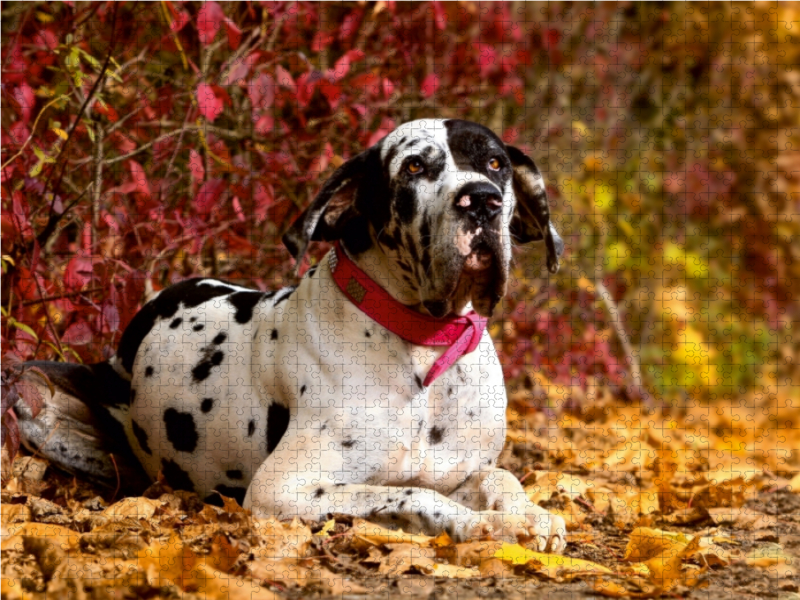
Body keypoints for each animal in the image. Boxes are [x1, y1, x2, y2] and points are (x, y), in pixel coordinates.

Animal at [17, 118, 568, 552]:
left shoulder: (466, 469)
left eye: (495, 163)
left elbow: (500, 476)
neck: (422, 348)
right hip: (31, 396)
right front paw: (483, 526)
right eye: (414, 167)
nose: (482, 201)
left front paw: (529, 515)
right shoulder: (281, 490)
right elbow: (412, 493)